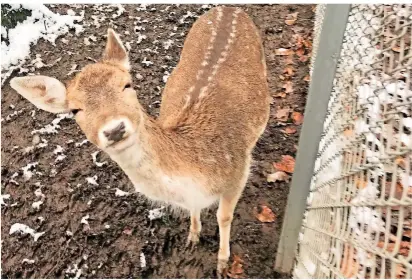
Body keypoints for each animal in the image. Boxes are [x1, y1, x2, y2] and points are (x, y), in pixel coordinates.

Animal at [9, 5, 270, 276]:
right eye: (74, 110)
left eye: (127, 84)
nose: (114, 129)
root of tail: (229, 8)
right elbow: (193, 209)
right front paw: (192, 237)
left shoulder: (238, 171)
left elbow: (224, 217)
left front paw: (222, 263)